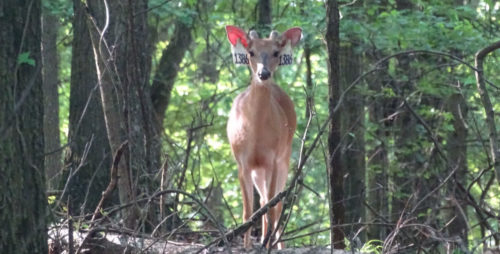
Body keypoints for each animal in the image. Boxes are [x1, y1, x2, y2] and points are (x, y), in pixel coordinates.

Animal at [226, 26, 300, 250]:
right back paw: (263, 241)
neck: (256, 133)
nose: (264, 73)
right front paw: (247, 247)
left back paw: (275, 244)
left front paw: (267, 246)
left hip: (284, 156)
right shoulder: (242, 162)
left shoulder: (273, 159)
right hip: (258, 170)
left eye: (276, 52)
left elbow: (272, 207)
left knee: (276, 202)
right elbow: (248, 212)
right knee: (263, 202)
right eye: (251, 52)